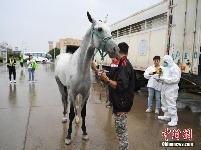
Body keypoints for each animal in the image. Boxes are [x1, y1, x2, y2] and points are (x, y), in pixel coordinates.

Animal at [55, 11, 119, 144]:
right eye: (99, 29)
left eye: (110, 30)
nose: (116, 49)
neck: (81, 67)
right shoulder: (72, 92)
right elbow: (70, 113)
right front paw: (68, 136)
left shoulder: (85, 93)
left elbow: (83, 112)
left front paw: (84, 133)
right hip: (61, 86)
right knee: (64, 101)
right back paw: (64, 117)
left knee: (76, 106)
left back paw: (77, 119)